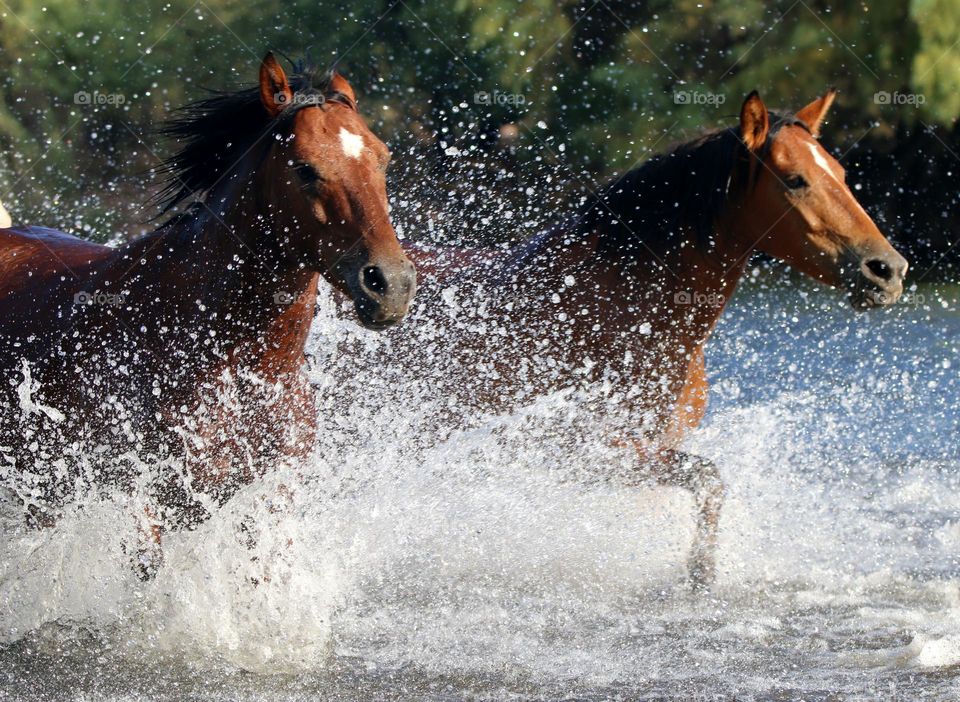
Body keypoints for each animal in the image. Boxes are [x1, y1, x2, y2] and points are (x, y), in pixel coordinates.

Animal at [392, 90, 907, 588]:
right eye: (795, 180)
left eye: (840, 172)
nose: (888, 270)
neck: (628, 309)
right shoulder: (591, 454)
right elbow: (709, 477)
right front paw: (699, 573)